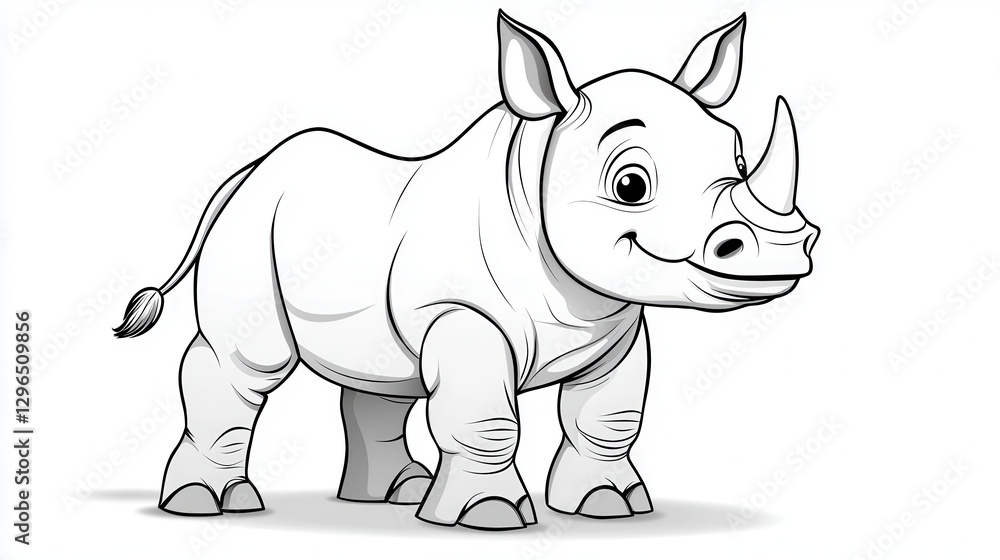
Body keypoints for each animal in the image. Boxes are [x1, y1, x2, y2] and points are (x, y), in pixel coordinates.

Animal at [115, 11, 818, 530]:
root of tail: (249, 169)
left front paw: (608, 505)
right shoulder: (463, 314)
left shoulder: (614, 324)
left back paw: (397, 495)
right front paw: (491, 514)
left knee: (383, 376)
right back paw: (210, 505)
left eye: (738, 159)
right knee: (245, 364)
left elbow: (608, 417)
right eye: (630, 185)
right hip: (251, 228)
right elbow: (487, 418)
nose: (785, 248)